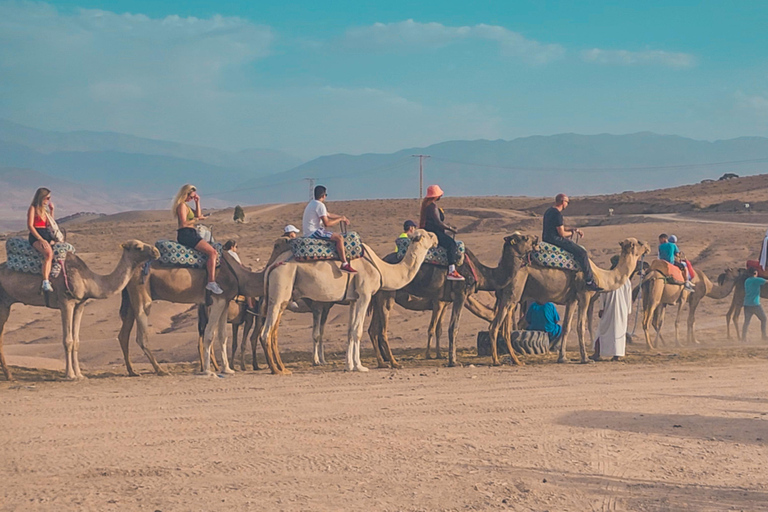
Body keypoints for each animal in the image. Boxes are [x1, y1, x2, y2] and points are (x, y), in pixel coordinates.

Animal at [0, 242, 159, 382]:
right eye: (138, 247)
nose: (156, 251)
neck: (88, 280)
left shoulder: (79, 305)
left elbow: (76, 341)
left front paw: (80, 375)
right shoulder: (66, 302)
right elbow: (67, 340)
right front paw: (70, 375)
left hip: (5, 304)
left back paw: (10, 376)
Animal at [260, 231, 436, 372]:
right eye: (427, 234)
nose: (437, 239)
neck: (382, 269)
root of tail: (272, 266)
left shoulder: (353, 299)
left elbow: (350, 330)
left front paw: (349, 365)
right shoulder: (365, 294)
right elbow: (357, 331)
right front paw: (360, 366)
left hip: (282, 295)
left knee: (273, 331)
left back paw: (282, 368)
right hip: (281, 285)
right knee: (266, 332)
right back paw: (277, 370)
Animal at [368, 232, 536, 368]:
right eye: (524, 238)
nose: (536, 239)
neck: (482, 275)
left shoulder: (445, 301)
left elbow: (440, 328)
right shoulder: (460, 295)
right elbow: (453, 328)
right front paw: (453, 361)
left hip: (378, 297)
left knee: (372, 330)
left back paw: (382, 363)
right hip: (387, 295)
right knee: (382, 330)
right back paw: (394, 363)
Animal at [486, 239, 648, 364]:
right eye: (639, 243)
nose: (647, 246)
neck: (601, 276)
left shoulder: (572, 299)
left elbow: (566, 327)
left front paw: (562, 358)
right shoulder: (584, 295)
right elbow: (580, 325)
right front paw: (585, 358)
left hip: (508, 295)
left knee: (504, 326)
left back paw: (514, 359)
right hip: (514, 290)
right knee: (496, 326)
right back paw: (498, 361)